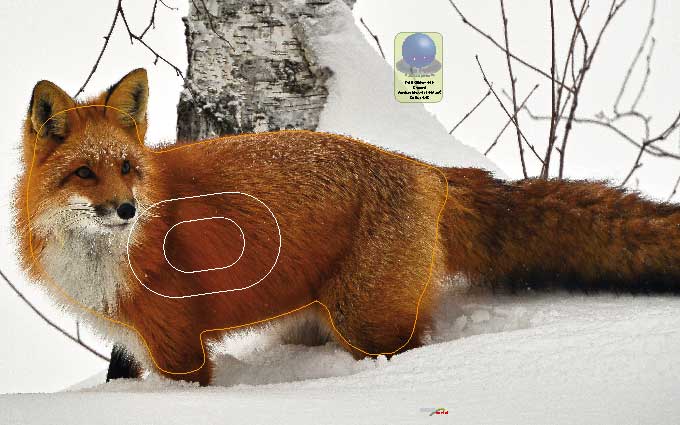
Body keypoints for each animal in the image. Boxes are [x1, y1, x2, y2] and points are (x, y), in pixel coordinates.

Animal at [13, 68, 680, 386]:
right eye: (85, 173)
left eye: (127, 169)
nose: (127, 210)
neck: (105, 254)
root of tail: (427, 169)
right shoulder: (137, 341)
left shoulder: (179, 344)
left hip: (366, 320)